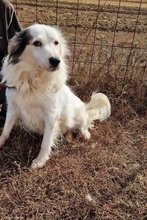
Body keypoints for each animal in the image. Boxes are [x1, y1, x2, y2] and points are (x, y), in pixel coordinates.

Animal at [0, 24, 110, 168]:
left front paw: (40, 160)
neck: (33, 80)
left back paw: (85, 134)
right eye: (37, 43)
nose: (56, 61)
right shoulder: (12, 108)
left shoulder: (51, 115)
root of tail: (85, 109)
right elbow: (5, 131)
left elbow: (45, 143)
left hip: (80, 114)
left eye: (56, 42)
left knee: (83, 126)